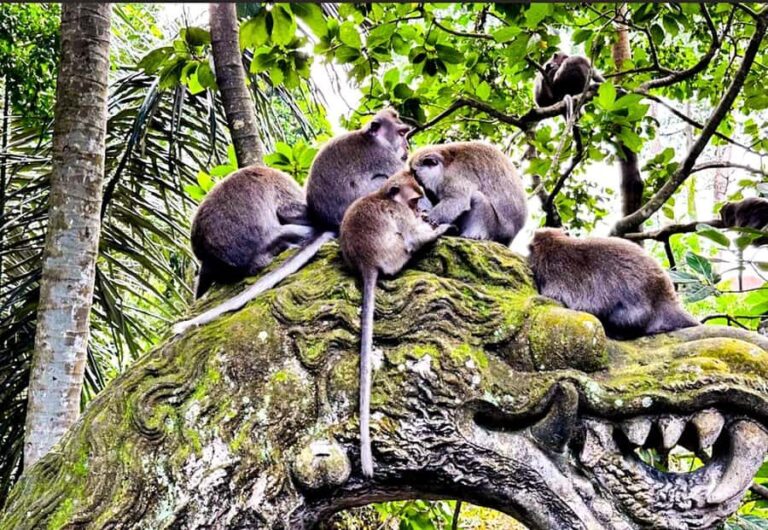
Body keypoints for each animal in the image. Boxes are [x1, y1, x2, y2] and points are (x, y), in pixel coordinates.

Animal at [339, 170, 452, 477]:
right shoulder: (399, 214)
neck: (383, 195)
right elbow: (416, 235)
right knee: (409, 244)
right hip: (396, 254)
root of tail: (366, 264)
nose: (419, 209)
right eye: (413, 199)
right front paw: (439, 228)